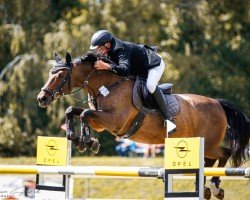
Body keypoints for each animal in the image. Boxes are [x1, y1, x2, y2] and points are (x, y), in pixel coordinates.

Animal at [36, 52, 249, 199]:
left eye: (60, 75)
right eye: (50, 73)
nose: (42, 98)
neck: (108, 86)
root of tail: (218, 103)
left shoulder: (114, 121)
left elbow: (85, 114)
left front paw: (86, 141)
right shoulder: (101, 123)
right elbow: (73, 110)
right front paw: (81, 140)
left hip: (210, 143)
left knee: (224, 154)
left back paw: (215, 186)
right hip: (198, 142)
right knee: (209, 161)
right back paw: (206, 189)